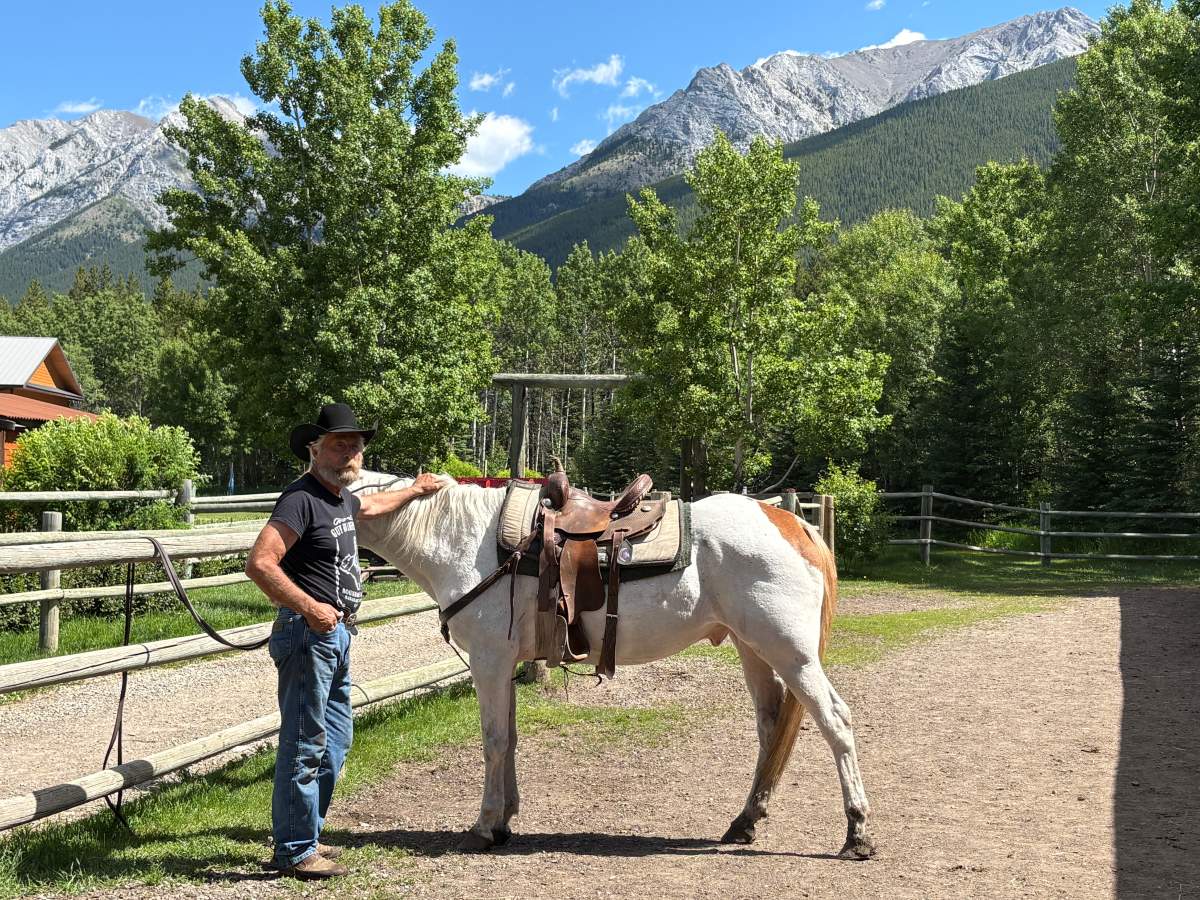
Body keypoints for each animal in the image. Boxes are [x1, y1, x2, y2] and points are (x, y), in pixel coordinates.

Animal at [351, 470, 875, 857]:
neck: (462, 542)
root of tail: (792, 522)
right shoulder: (506, 666)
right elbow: (511, 740)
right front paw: (505, 821)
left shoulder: (489, 661)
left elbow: (494, 742)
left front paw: (483, 827)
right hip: (755, 650)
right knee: (771, 729)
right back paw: (745, 821)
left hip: (792, 653)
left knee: (835, 721)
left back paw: (858, 834)